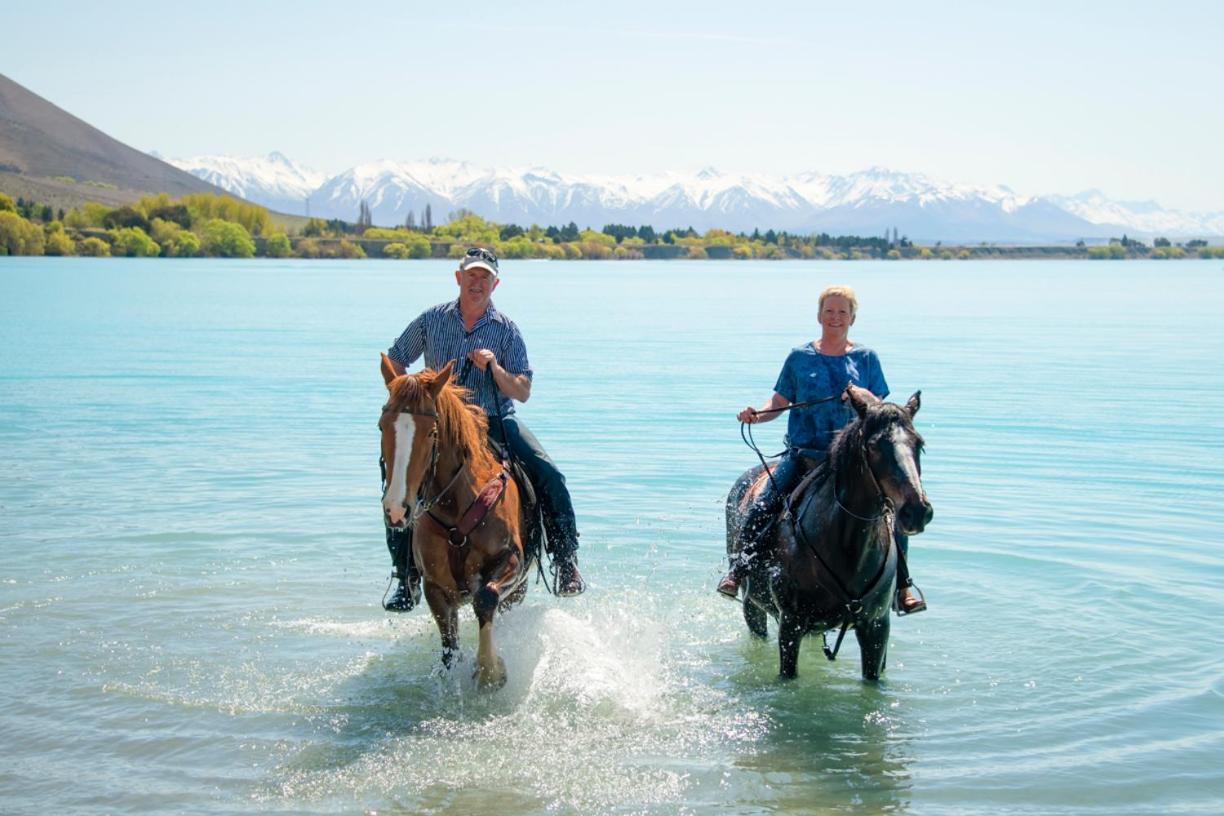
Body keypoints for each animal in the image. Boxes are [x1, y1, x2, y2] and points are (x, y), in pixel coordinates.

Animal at [376, 357, 531, 689]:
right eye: (382, 425)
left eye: (431, 432)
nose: (396, 509)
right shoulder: (435, 587)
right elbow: (450, 647)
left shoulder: (511, 561)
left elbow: (485, 598)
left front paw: (489, 671)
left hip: (518, 591)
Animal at [719, 386, 930, 680]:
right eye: (873, 446)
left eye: (919, 444)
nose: (917, 511)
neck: (847, 548)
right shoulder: (791, 623)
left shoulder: (877, 627)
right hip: (752, 607)